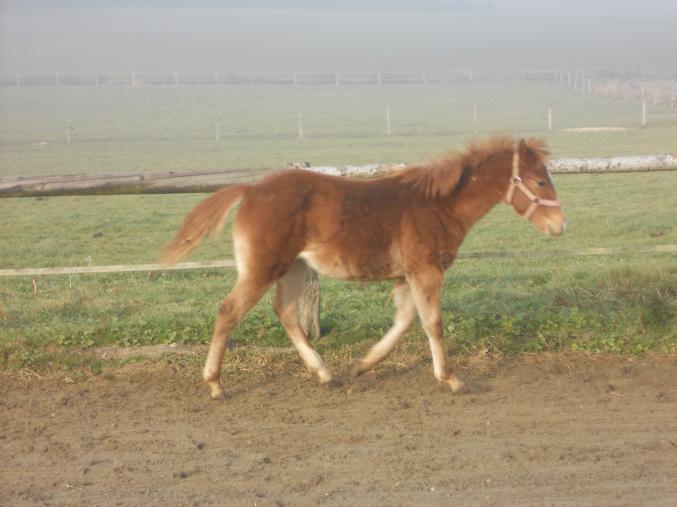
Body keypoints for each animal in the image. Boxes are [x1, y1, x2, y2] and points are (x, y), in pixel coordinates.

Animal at [163, 136, 567, 399]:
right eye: (540, 180)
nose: (560, 226)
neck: (436, 206)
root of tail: (249, 191)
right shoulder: (426, 272)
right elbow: (432, 323)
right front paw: (451, 379)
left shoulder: (406, 277)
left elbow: (404, 322)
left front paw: (362, 366)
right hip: (263, 268)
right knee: (228, 311)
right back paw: (215, 383)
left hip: (293, 268)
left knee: (286, 312)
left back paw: (325, 374)